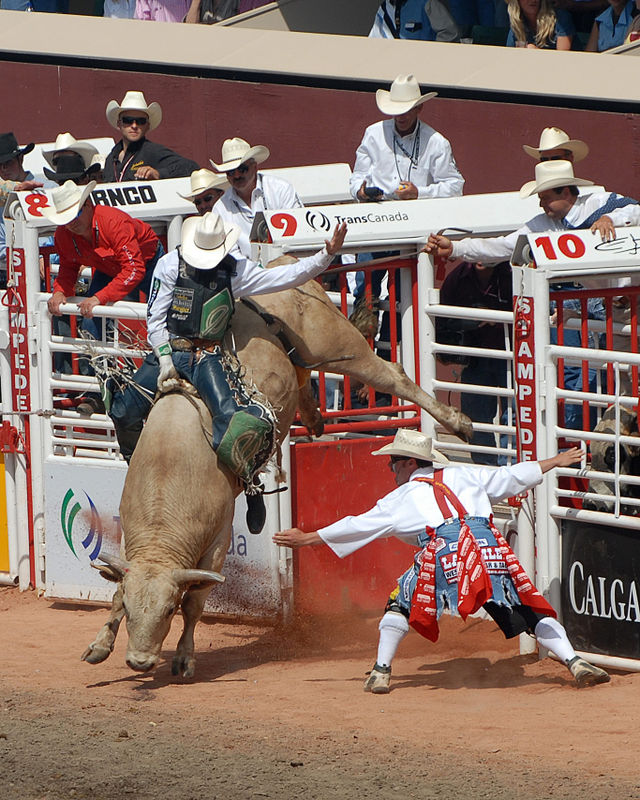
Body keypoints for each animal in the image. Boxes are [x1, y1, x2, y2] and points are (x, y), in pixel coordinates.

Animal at [82, 270, 472, 676]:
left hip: (338, 344)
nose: (139, 661)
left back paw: (457, 422)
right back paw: (314, 418)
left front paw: (185, 658)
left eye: (169, 609)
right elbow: (117, 591)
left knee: (391, 376)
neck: (165, 482)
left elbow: (196, 602)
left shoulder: (218, 541)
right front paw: (100, 645)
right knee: (304, 381)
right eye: (130, 610)